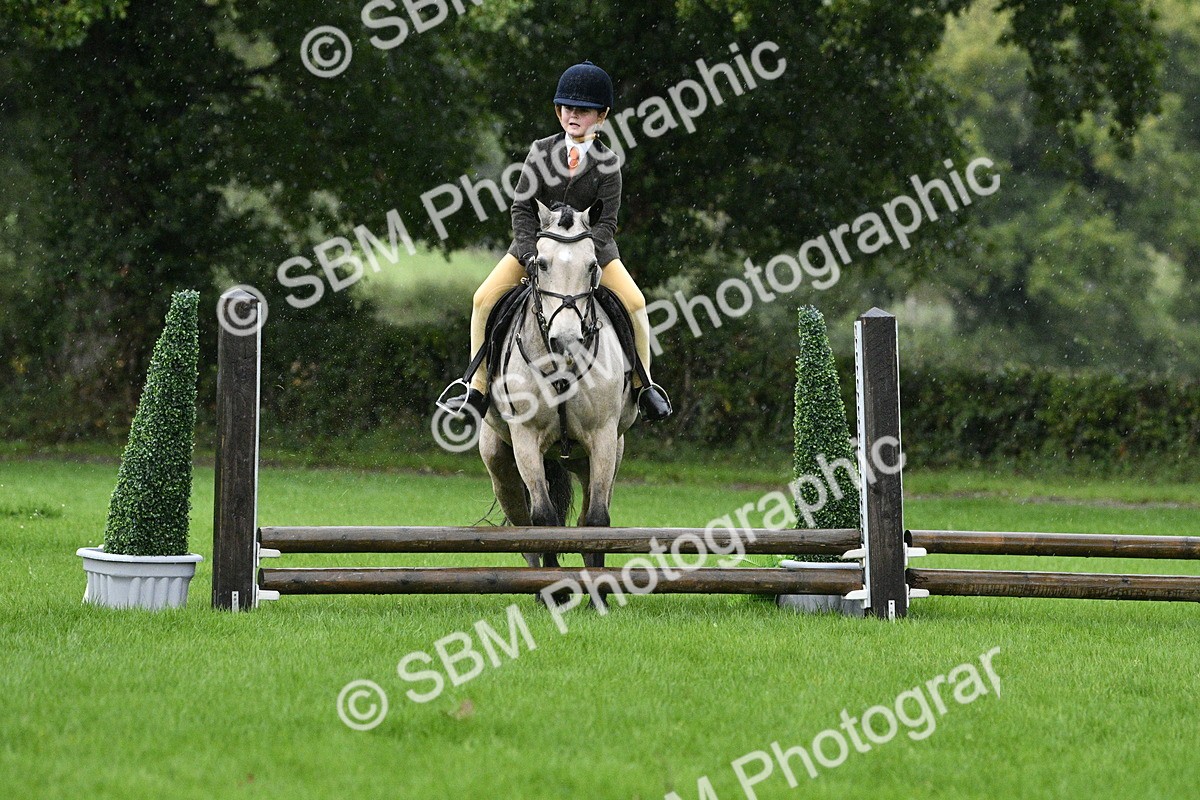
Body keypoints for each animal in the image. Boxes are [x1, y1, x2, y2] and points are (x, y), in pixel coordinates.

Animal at [478, 199, 639, 606]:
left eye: (592, 265)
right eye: (542, 263)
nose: (567, 341)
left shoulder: (602, 438)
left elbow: (596, 521)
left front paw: (598, 595)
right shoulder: (526, 440)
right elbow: (544, 519)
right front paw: (553, 593)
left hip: (599, 455)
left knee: (584, 517)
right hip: (501, 466)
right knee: (522, 527)